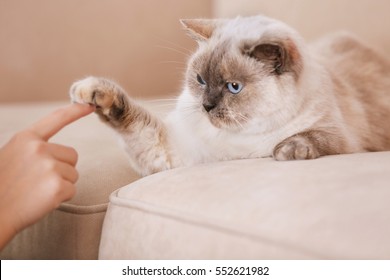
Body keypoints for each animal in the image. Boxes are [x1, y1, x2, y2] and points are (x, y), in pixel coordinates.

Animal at [69, 14, 390, 175]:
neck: (239, 141)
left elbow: (312, 138)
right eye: (200, 80)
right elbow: (130, 118)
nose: (207, 106)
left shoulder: (343, 138)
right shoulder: (173, 152)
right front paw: (90, 92)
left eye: (233, 87)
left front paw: (286, 151)